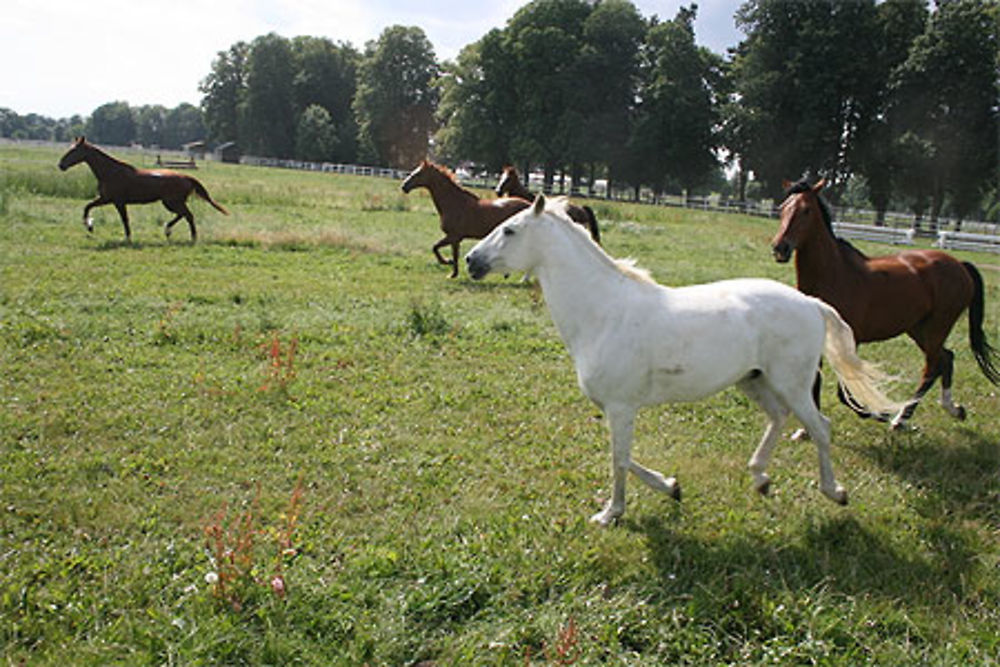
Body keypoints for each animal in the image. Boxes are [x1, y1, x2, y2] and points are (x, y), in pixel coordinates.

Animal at [58, 136, 227, 243]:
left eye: (74, 150)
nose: (61, 165)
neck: (111, 172)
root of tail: (186, 176)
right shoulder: (105, 199)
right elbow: (87, 206)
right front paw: (90, 226)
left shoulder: (117, 202)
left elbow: (124, 219)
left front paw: (127, 238)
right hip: (171, 203)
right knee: (183, 215)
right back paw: (168, 230)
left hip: (171, 202)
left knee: (188, 215)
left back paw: (191, 237)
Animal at [402, 160, 536, 278]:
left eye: (418, 173)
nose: (404, 186)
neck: (455, 203)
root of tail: (529, 205)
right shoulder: (455, 239)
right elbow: (453, 254)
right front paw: (453, 274)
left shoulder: (453, 236)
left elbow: (435, 247)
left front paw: (447, 262)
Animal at [468, 194, 908, 528]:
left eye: (509, 230)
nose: (472, 261)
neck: (604, 313)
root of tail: (813, 304)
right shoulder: (615, 407)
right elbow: (627, 459)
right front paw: (671, 487)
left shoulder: (621, 407)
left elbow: (619, 459)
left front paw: (611, 514)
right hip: (754, 380)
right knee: (779, 418)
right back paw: (760, 478)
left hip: (794, 384)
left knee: (819, 428)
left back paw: (835, 492)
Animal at [768, 177, 996, 428]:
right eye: (783, 208)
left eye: (806, 210)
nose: (780, 248)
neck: (834, 275)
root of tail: (960, 265)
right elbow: (815, 383)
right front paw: (806, 430)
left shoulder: (851, 339)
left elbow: (844, 392)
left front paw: (876, 413)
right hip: (919, 329)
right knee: (946, 359)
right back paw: (949, 410)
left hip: (938, 327)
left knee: (932, 367)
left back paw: (901, 418)